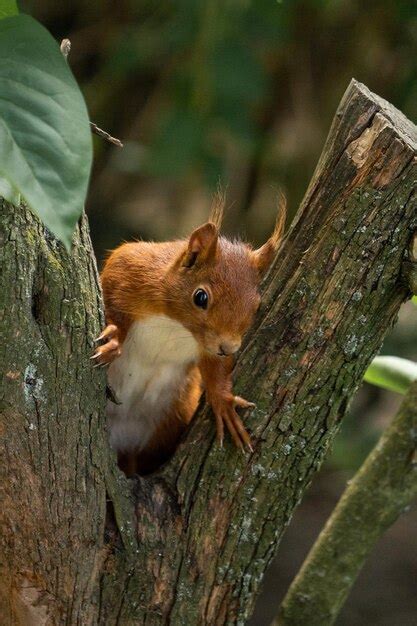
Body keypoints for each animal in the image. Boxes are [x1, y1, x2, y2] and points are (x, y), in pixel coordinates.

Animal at [92, 195, 284, 472]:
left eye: (257, 306)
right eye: (200, 297)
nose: (228, 347)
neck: (178, 325)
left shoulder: (211, 346)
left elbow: (217, 368)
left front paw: (223, 401)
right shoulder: (130, 267)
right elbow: (114, 307)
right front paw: (113, 340)